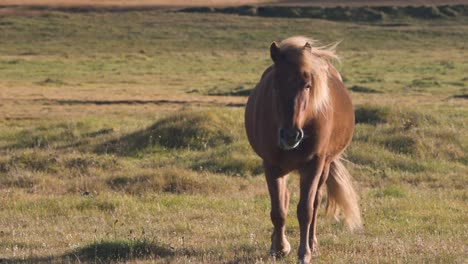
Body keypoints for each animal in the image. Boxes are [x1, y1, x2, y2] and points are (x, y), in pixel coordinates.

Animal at [245, 36, 362, 262]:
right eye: (275, 86)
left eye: (307, 86)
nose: (291, 135)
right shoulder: (271, 165)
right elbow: (278, 210)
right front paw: (280, 247)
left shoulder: (313, 165)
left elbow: (306, 210)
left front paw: (304, 252)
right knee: (284, 199)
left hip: (324, 167)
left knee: (315, 202)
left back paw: (312, 243)